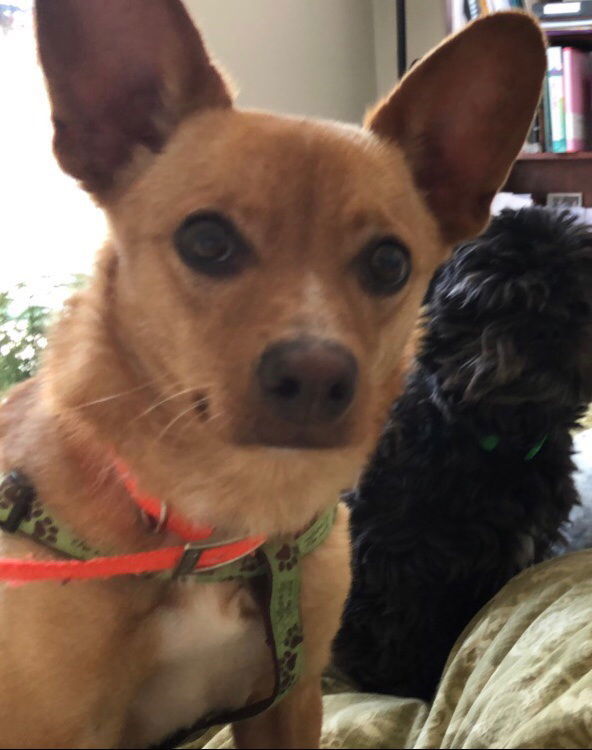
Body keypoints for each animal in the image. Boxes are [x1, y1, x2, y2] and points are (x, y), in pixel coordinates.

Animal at [332, 209, 592, 704]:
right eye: (495, 299)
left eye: (580, 299)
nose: (550, 326)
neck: (498, 444)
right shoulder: (395, 555)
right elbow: (397, 622)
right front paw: (405, 685)